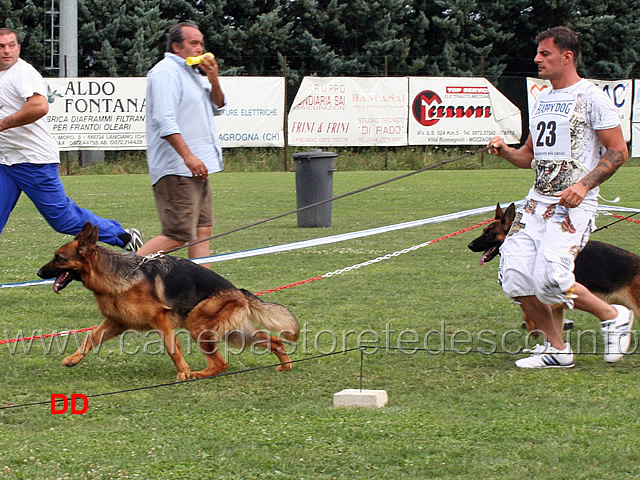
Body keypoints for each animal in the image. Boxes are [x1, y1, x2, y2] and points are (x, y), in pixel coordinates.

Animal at [36, 223, 302, 380]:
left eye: (58, 258)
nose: (38, 273)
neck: (117, 275)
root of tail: (238, 291)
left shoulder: (160, 320)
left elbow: (171, 347)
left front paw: (183, 371)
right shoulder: (116, 322)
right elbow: (89, 339)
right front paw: (73, 359)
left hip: (198, 325)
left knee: (221, 363)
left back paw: (197, 374)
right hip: (236, 334)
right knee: (275, 341)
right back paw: (285, 365)